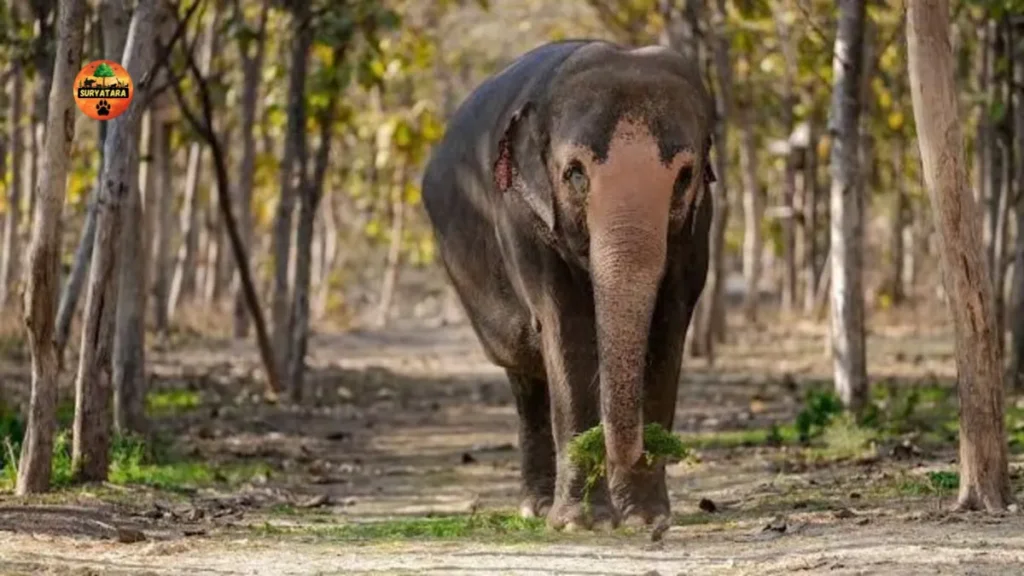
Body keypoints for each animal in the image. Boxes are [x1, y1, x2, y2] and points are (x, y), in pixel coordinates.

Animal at [421, 39, 715, 531]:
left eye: (685, 176)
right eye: (575, 173)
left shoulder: (700, 225)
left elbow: (667, 329)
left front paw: (646, 518)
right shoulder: (521, 217)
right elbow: (568, 330)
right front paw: (583, 522)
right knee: (526, 379)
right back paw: (535, 508)